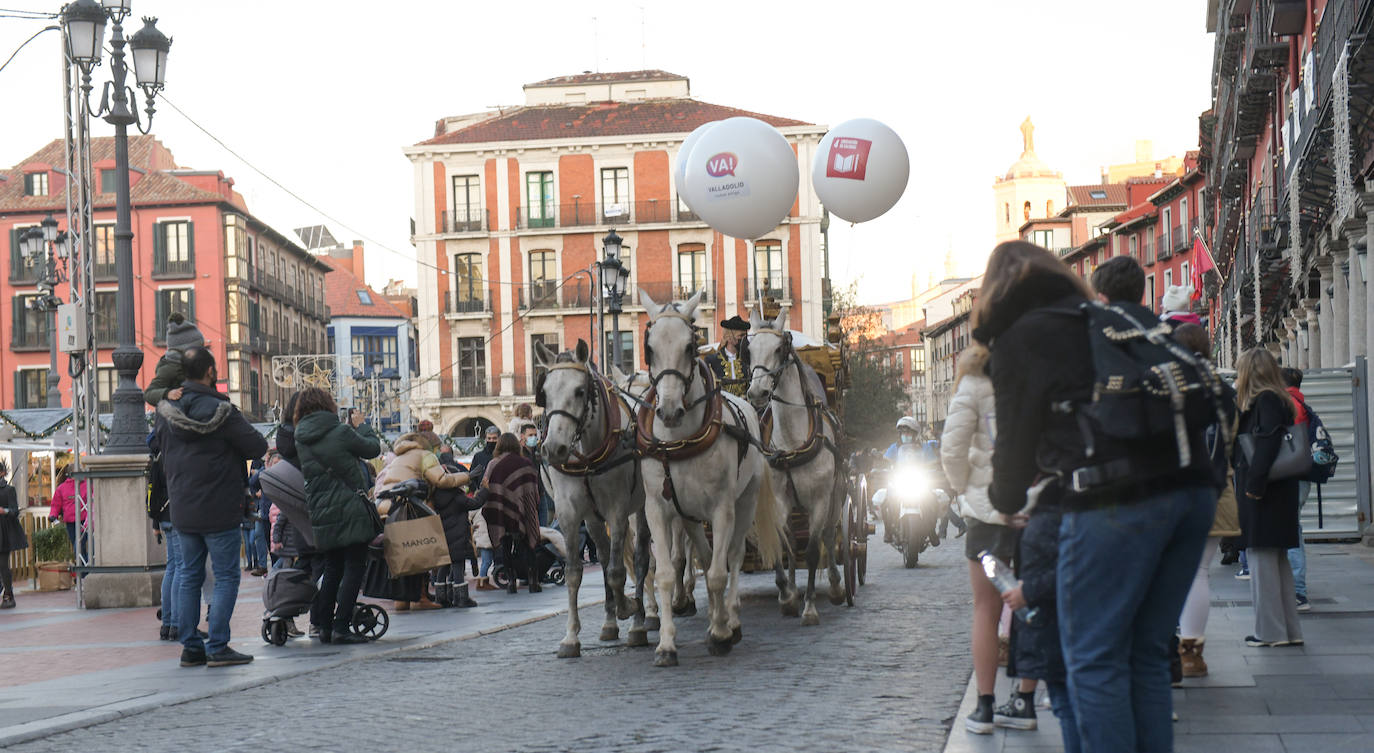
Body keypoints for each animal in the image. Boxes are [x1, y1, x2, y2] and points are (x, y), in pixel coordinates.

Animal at [533, 340, 651, 659]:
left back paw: (641, 620)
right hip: (594, 518)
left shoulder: (618, 510)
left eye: (579, 391)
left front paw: (629, 607)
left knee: (642, 558)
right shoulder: (569, 513)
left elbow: (616, 571)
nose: (554, 448)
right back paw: (611, 622)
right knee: (605, 551)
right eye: (544, 392)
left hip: (643, 507)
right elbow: (574, 572)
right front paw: (571, 637)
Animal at [632, 291, 785, 667]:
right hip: (687, 516)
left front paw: (720, 633)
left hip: (744, 503)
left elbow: (718, 573)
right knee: (703, 553)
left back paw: (730, 619)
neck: (679, 440)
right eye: (649, 347)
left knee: (732, 556)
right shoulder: (658, 509)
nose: (669, 411)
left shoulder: (723, 509)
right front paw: (666, 644)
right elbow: (666, 574)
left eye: (690, 346)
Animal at [747, 306, 840, 623]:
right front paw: (788, 595)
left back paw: (836, 584)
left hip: (835, 497)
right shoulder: (778, 500)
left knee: (830, 535)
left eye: (779, 349)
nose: (757, 393)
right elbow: (784, 543)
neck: (791, 442)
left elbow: (811, 550)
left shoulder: (820, 500)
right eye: (749, 349)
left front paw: (809, 606)